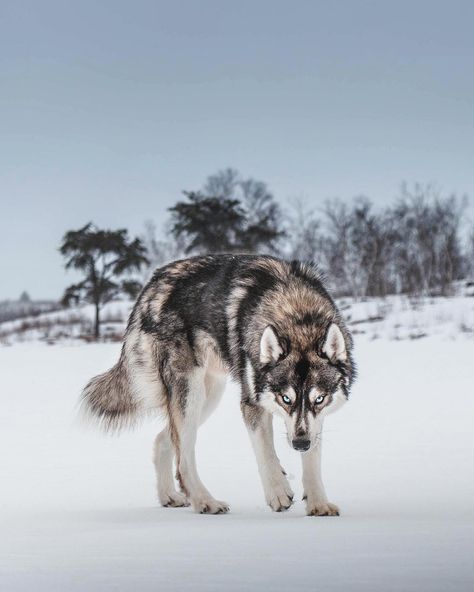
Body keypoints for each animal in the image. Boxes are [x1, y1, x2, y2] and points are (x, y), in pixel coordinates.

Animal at [82, 254, 356, 512]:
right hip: (191, 394)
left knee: (163, 441)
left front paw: (319, 504)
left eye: (319, 399)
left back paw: (169, 496)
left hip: (209, 396)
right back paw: (205, 502)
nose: (300, 444)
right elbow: (266, 454)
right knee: (183, 461)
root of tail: (151, 285)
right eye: (286, 398)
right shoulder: (252, 405)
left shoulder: (314, 421)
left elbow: (312, 462)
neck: (297, 314)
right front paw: (278, 492)